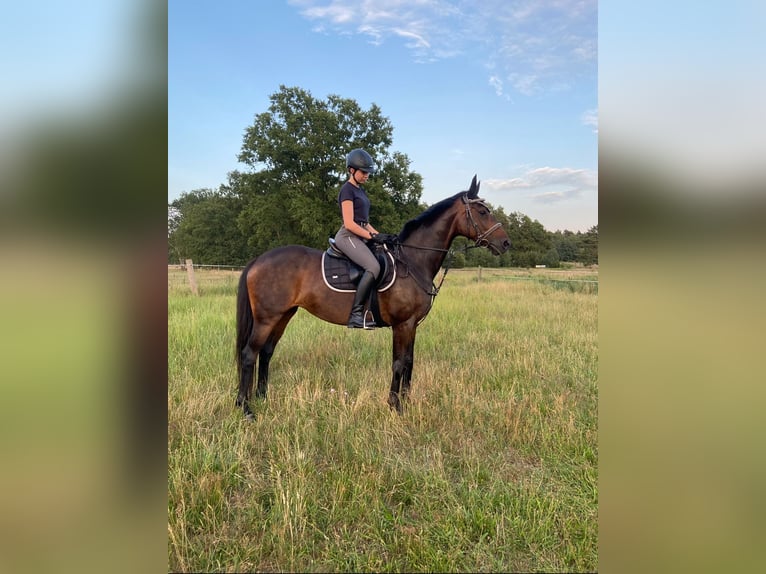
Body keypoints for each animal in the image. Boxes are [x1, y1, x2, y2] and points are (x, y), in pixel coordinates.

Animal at [234, 176, 510, 418]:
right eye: (482, 212)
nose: (506, 243)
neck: (412, 261)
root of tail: (259, 260)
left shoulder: (412, 325)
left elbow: (409, 362)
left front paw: (407, 402)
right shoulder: (402, 325)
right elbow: (399, 363)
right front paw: (396, 407)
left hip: (283, 315)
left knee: (266, 352)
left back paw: (262, 397)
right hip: (267, 318)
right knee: (249, 355)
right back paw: (245, 409)